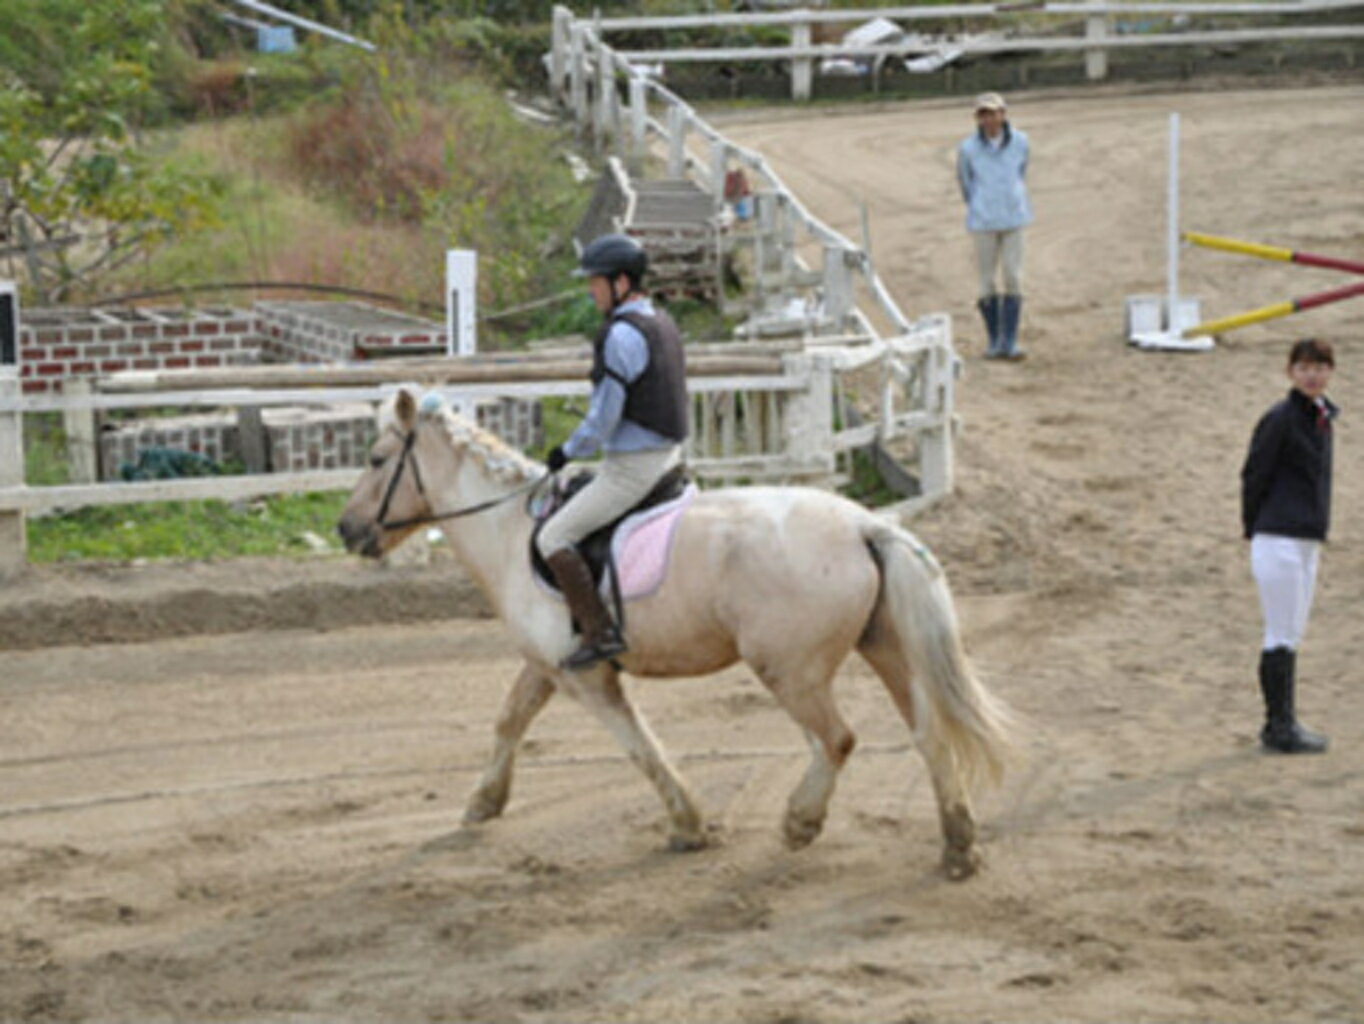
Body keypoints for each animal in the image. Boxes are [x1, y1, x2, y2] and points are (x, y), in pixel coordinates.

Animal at [335, 387, 1009, 878]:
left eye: (375, 460)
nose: (346, 529)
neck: (512, 531)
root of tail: (865, 526)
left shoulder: (590, 678)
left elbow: (641, 747)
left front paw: (688, 824)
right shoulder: (548, 665)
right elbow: (509, 720)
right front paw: (484, 802)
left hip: (791, 670)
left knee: (836, 740)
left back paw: (801, 821)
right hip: (884, 649)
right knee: (927, 734)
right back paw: (958, 846)